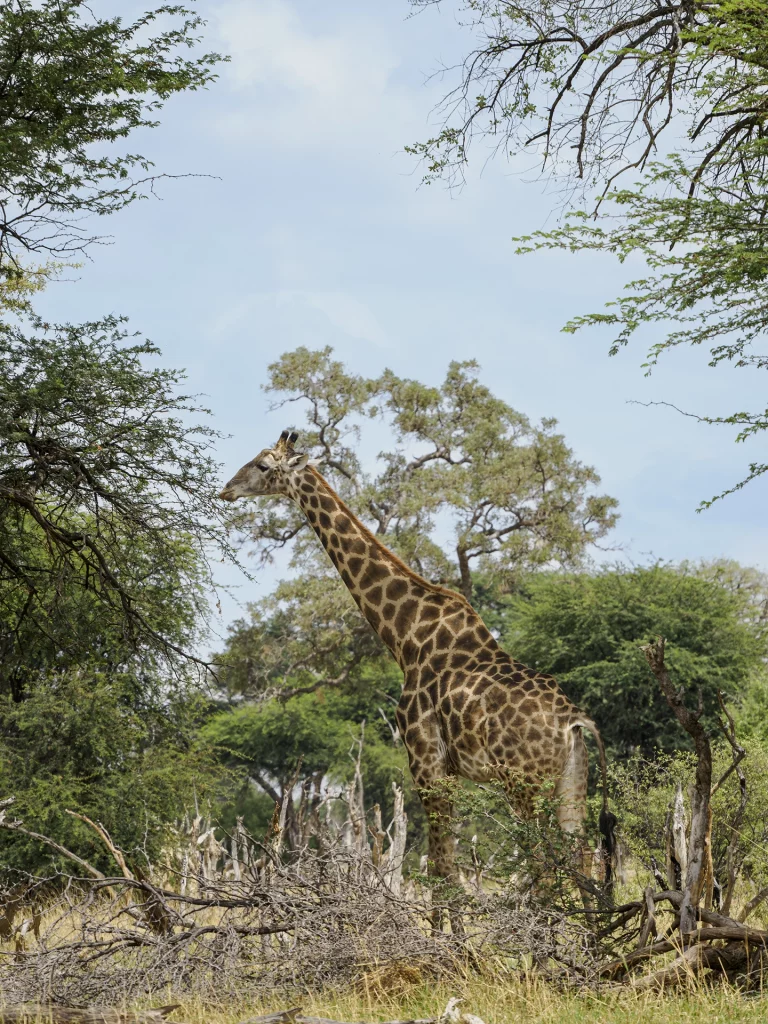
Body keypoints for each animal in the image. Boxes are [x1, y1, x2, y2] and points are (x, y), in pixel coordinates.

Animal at [220, 430, 616, 891]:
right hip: (572, 783)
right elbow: (446, 867)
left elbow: (443, 872)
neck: (406, 638)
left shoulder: (426, 763)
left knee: (546, 870)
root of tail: (574, 721)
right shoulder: (448, 771)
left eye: (263, 465)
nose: (227, 489)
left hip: (525, 785)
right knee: (582, 865)